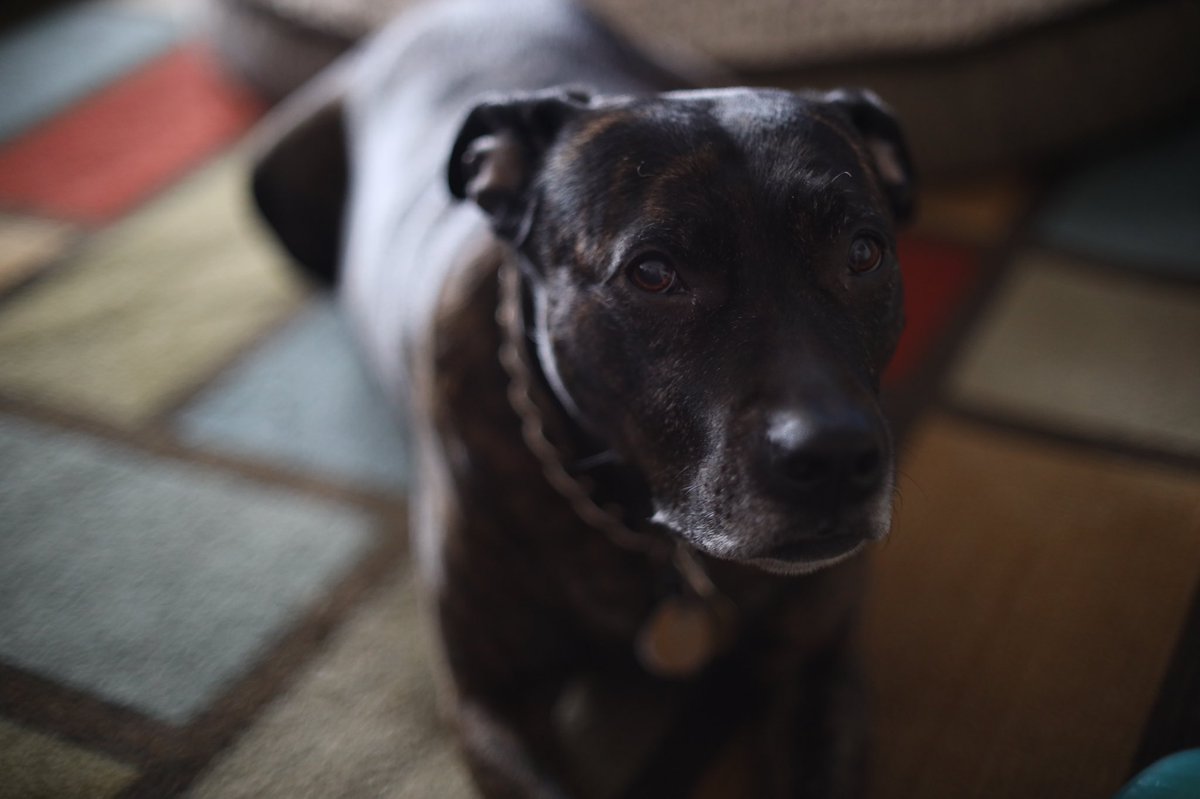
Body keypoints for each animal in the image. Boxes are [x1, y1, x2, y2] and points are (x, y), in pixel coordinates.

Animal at [250, 0, 907, 791]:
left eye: (864, 253)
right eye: (654, 272)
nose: (836, 457)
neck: (642, 531)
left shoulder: (818, 671)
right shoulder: (491, 701)